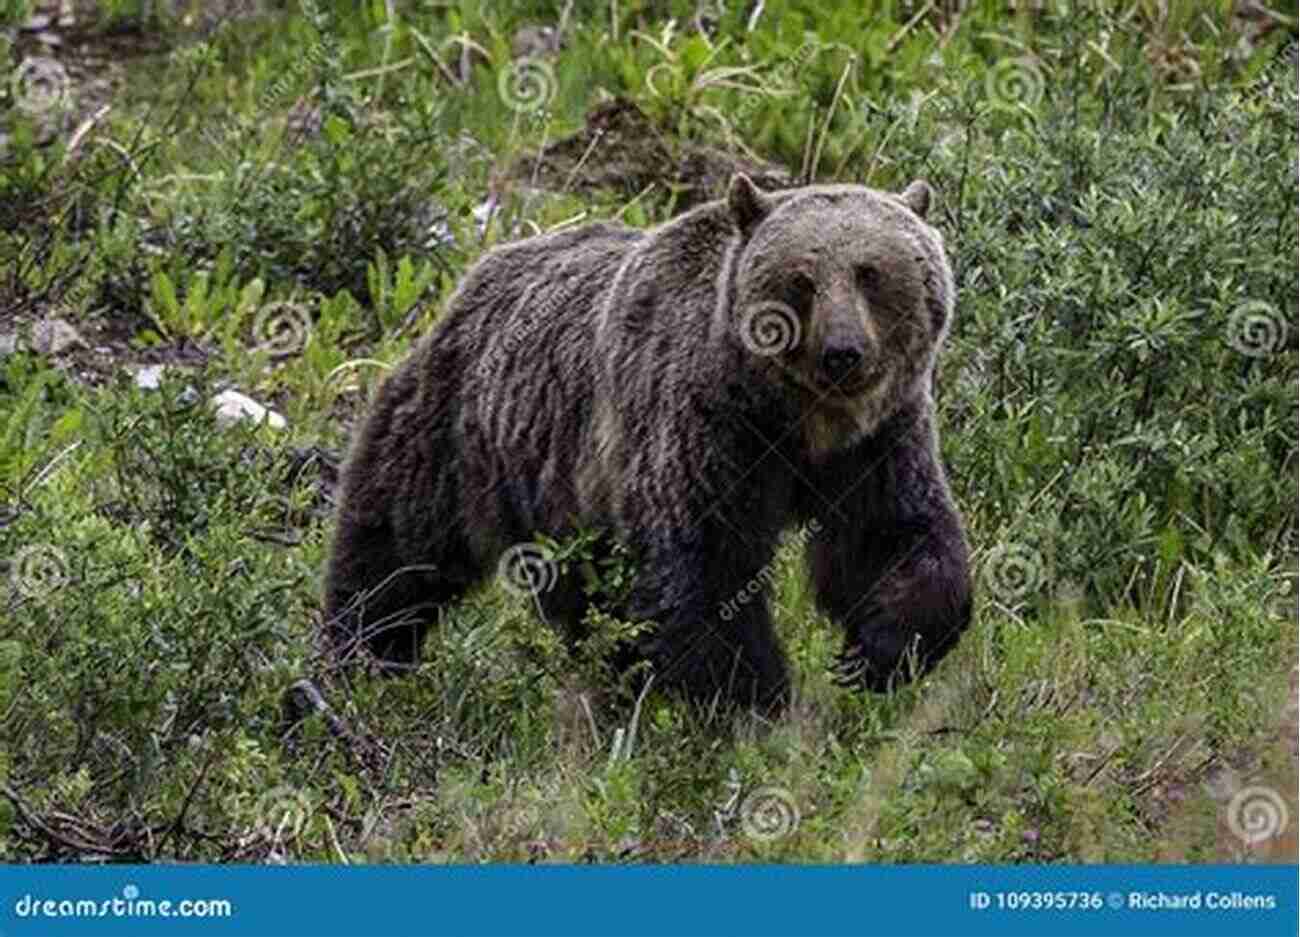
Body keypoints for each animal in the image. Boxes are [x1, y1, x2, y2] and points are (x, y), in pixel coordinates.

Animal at [323, 171, 972, 706]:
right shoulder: (705, 427)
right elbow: (704, 569)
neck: (797, 419)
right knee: (398, 547)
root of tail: (480, 270)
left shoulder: (877, 441)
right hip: (462, 430)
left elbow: (891, 539)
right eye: (802, 280)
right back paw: (361, 653)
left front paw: (874, 654)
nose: (842, 352)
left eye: (870, 273)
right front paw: (751, 700)